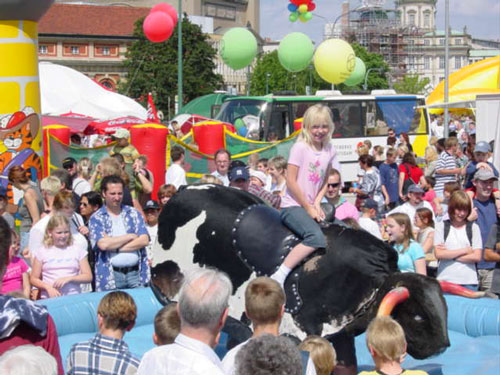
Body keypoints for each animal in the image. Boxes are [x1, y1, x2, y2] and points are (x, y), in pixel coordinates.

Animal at [155, 184, 450, 370]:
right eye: (417, 316)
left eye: (444, 309)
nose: (443, 345)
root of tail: (184, 190)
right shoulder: (300, 332)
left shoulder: (339, 336)